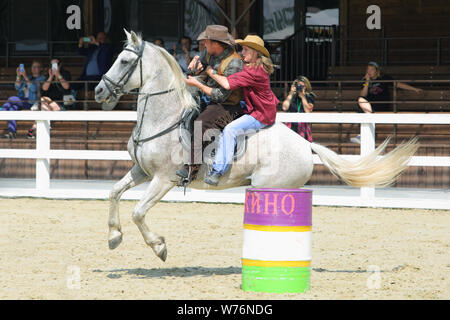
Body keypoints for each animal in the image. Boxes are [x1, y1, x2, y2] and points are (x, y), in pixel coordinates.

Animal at [94, 30, 418, 262]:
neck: (166, 117)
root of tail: (305, 145)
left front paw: (159, 246)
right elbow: (113, 193)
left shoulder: (164, 179)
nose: (98, 91)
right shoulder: (142, 171)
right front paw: (112, 236)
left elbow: (138, 212)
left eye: (124, 61)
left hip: (272, 186)